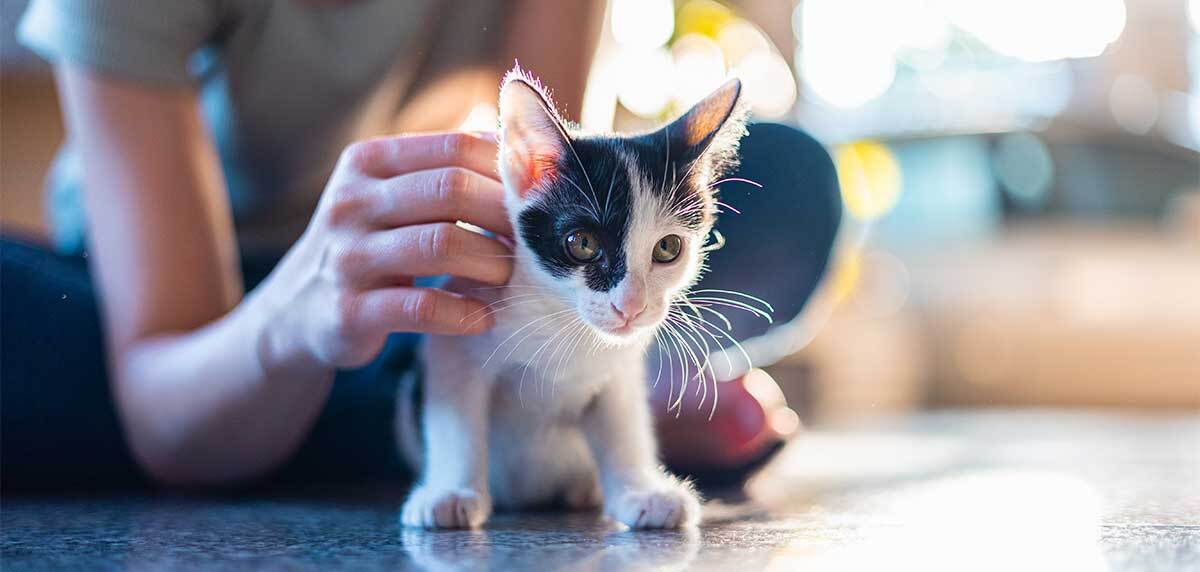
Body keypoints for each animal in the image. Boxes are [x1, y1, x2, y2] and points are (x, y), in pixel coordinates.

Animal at [398, 69, 744, 527]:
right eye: (581, 243)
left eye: (668, 248)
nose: (631, 305)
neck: (560, 320)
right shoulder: (454, 334)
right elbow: (456, 421)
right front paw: (450, 492)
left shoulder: (619, 370)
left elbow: (623, 426)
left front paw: (639, 490)